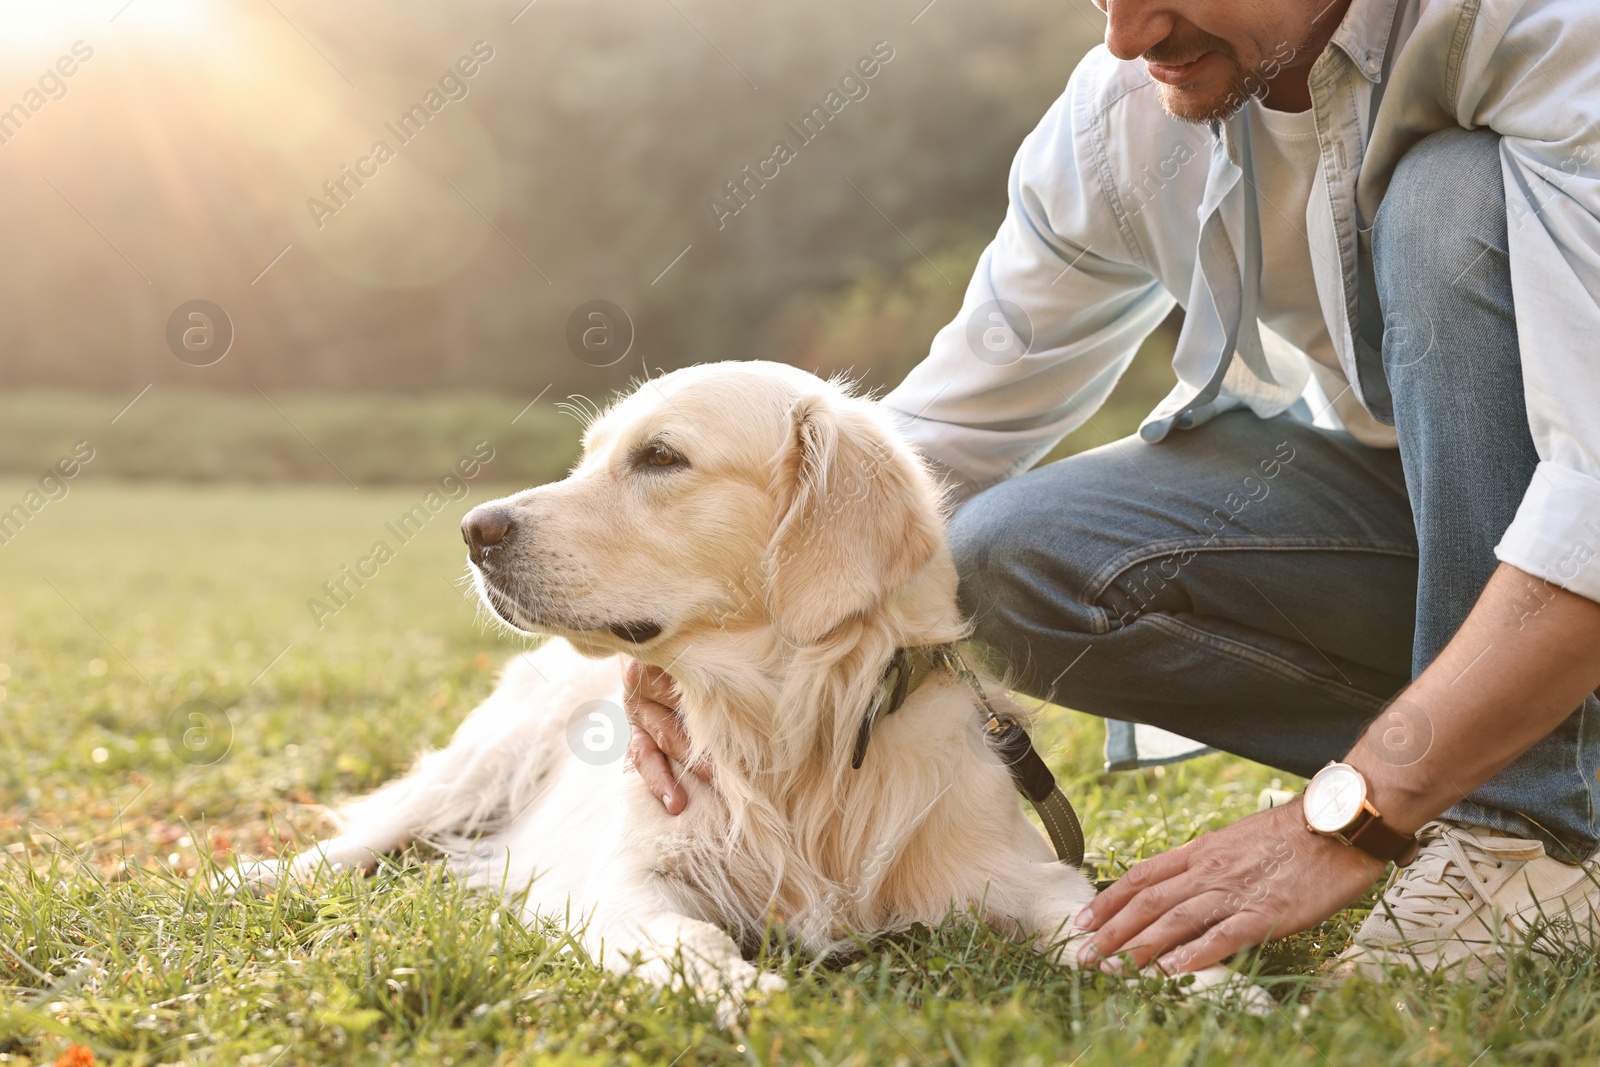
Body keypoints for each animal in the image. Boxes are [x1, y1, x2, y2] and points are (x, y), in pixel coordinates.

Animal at [259, 363, 1260, 1023]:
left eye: (660, 457)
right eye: (589, 456)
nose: (474, 529)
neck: (788, 729)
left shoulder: (1016, 869)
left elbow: (1094, 920)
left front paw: (1219, 983)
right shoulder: (625, 874)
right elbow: (687, 935)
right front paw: (739, 988)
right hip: (483, 761)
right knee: (361, 836)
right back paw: (250, 878)